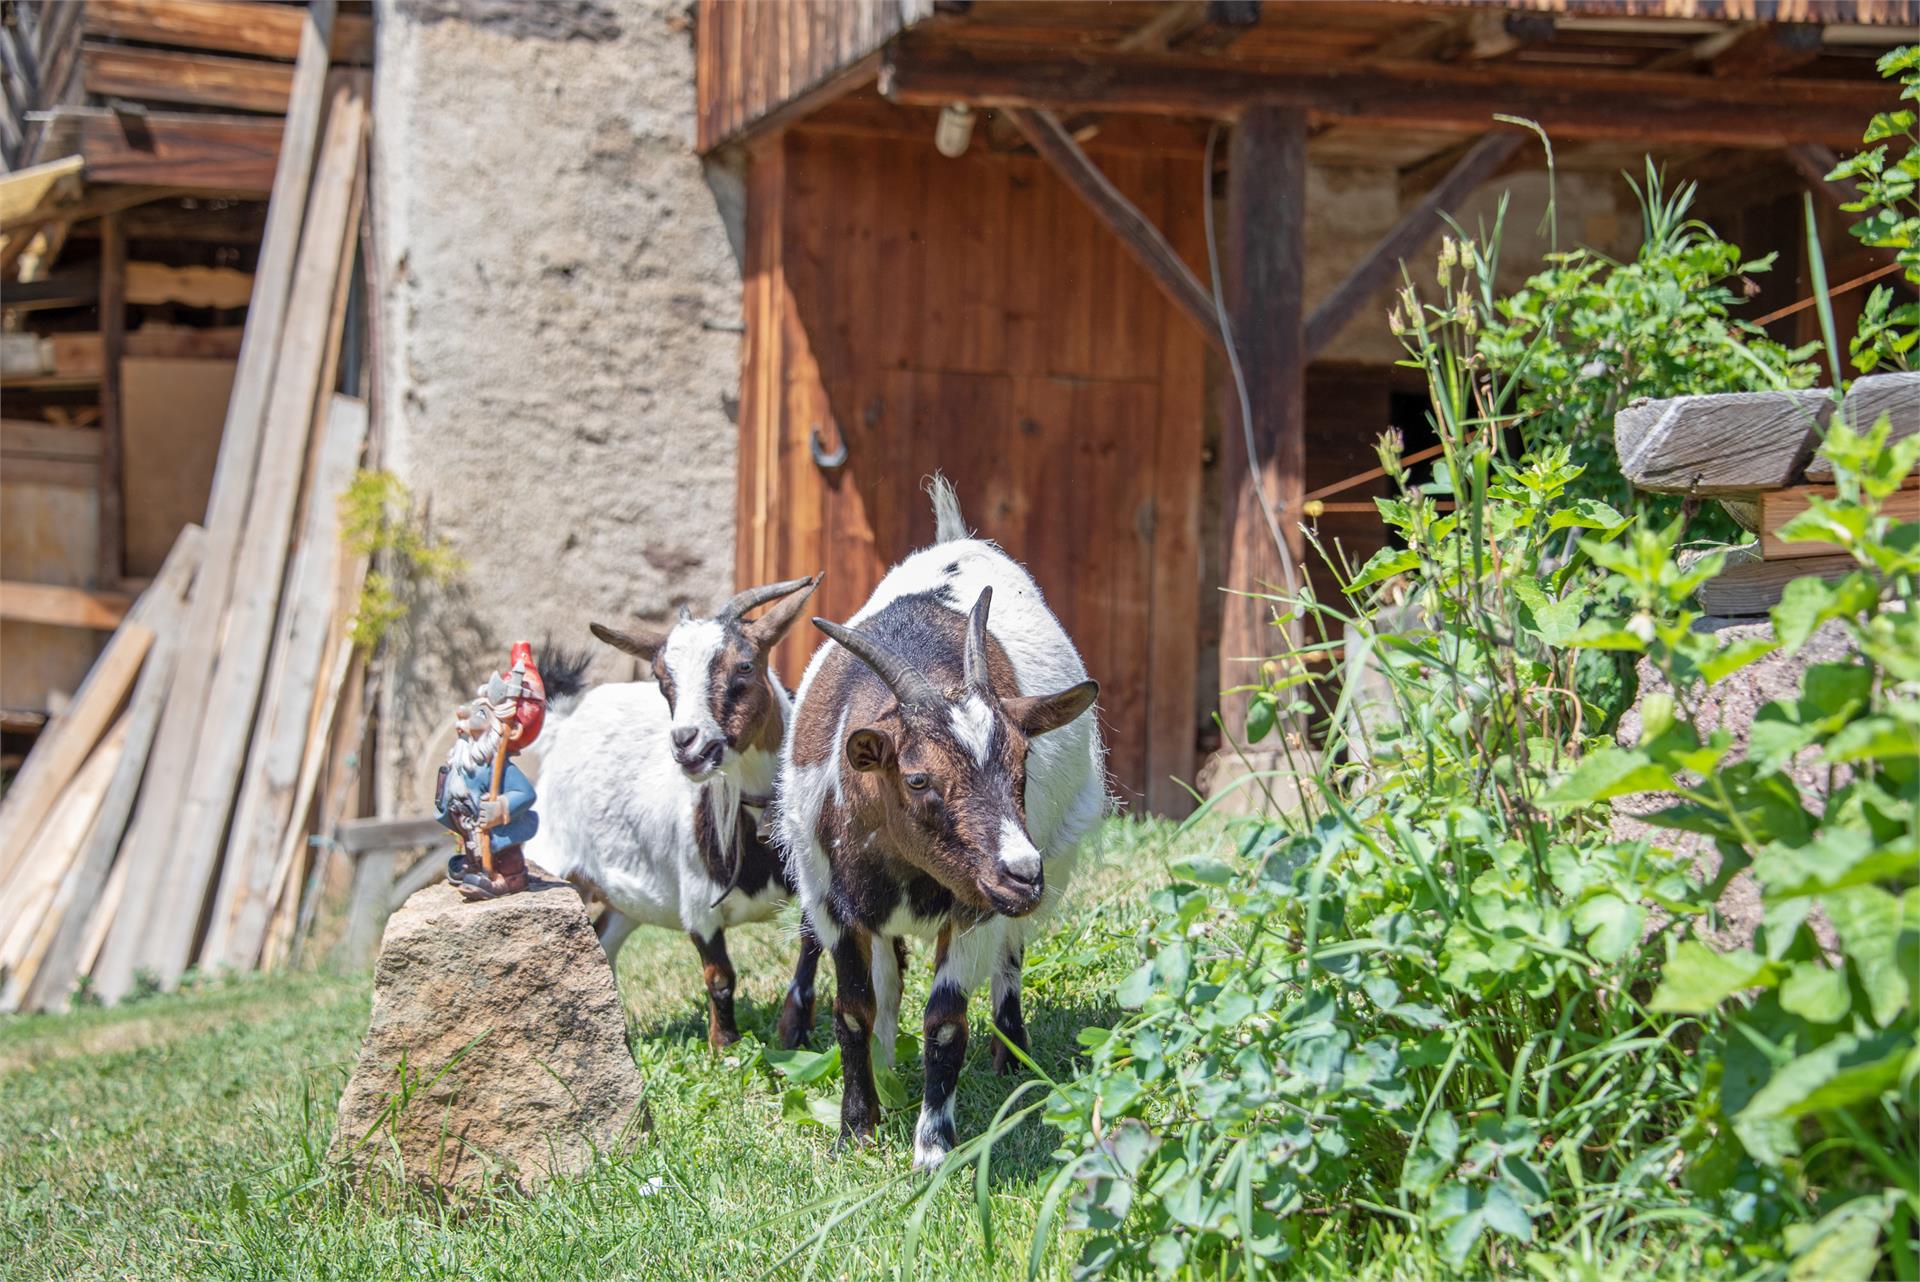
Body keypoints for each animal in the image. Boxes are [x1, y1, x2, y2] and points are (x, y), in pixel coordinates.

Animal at [771, 477, 1105, 1159]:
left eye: (1023, 762)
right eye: (918, 779)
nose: (1022, 873)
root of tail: (954, 539)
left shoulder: (976, 904)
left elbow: (945, 1022)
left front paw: (933, 1148)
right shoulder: (832, 903)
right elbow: (853, 1010)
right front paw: (857, 1129)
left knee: (1009, 960)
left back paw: (1012, 1059)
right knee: (887, 981)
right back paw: (886, 1063)